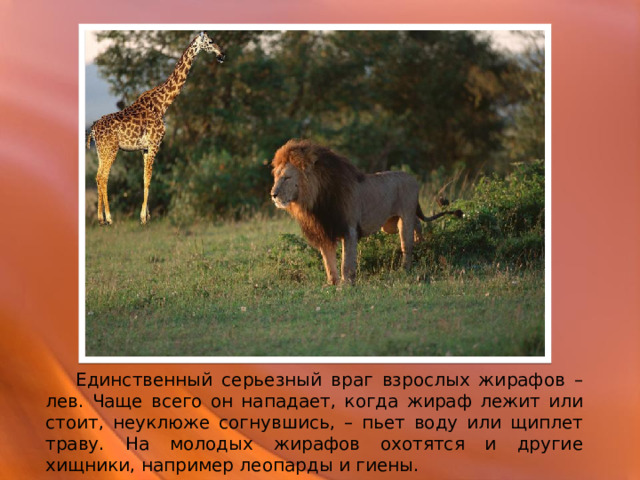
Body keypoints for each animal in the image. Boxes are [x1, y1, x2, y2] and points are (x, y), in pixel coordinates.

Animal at [87, 32, 225, 225]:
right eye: (211, 41)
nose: (222, 55)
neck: (162, 104)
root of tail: (92, 130)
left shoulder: (145, 148)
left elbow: (145, 178)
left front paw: (146, 215)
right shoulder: (154, 144)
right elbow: (149, 179)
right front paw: (144, 217)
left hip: (101, 151)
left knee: (98, 177)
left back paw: (101, 219)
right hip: (111, 149)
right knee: (103, 177)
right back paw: (109, 218)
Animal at [270, 139, 462, 285]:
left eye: (286, 178)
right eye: (276, 177)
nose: (273, 194)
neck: (314, 201)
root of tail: (413, 178)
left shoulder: (349, 229)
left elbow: (346, 263)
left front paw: (346, 284)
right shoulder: (324, 232)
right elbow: (328, 262)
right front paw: (332, 284)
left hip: (405, 218)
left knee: (406, 245)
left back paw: (405, 268)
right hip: (391, 225)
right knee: (418, 225)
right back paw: (421, 242)